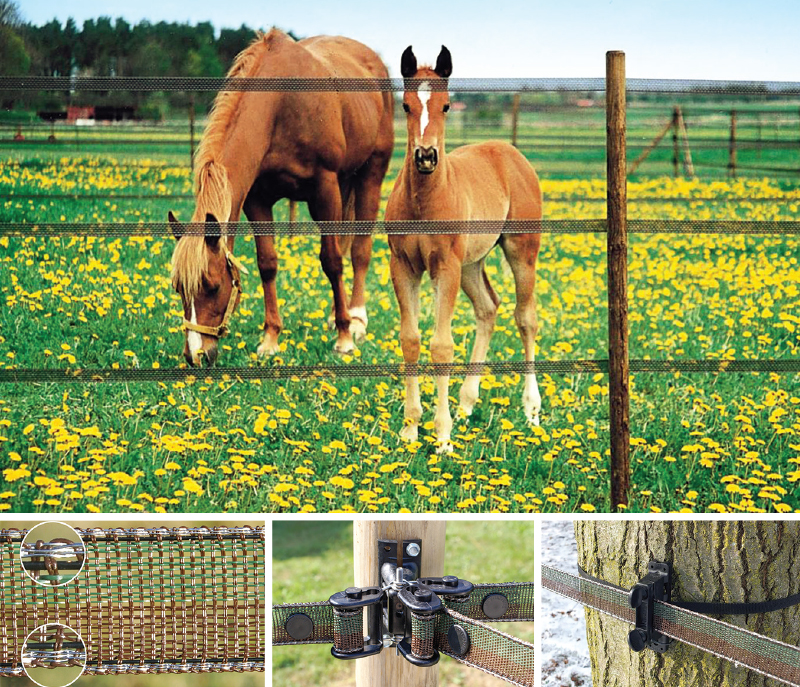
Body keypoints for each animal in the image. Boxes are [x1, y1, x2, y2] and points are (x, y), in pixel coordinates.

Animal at [169, 29, 394, 366]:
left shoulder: (324, 190)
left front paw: (343, 339)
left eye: (213, 285)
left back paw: (355, 319)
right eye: (178, 288)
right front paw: (270, 339)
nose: (195, 355)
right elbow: (268, 263)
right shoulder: (258, 200)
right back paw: (334, 315)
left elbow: (331, 262)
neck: (281, 106)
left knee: (359, 251)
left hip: (371, 174)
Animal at [385, 46, 543, 453]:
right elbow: (411, 340)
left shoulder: (446, 267)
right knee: (488, 309)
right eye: (405, 105)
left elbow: (441, 346)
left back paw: (531, 409)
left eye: (446, 106)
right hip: (473, 264)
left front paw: (442, 437)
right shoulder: (403, 266)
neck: (424, 201)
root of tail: (510, 152)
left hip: (520, 251)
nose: (426, 156)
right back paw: (467, 404)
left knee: (526, 318)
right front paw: (410, 428)